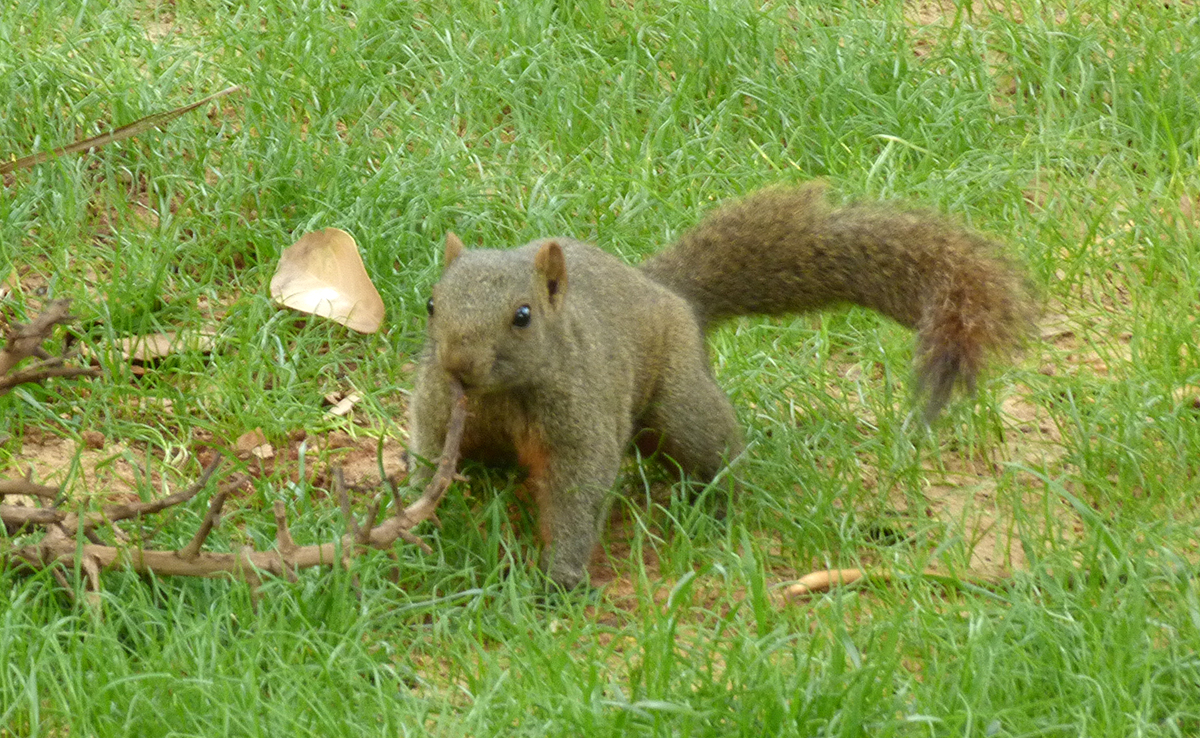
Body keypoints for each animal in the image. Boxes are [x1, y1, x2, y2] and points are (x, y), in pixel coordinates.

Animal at [405, 183, 1032, 588]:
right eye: (432, 304)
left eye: (523, 316)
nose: (458, 365)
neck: (500, 397)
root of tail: (670, 296)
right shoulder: (438, 412)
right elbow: (430, 457)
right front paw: (418, 523)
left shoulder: (582, 422)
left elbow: (577, 489)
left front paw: (561, 576)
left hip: (681, 406)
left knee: (715, 451)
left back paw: (720, 508)